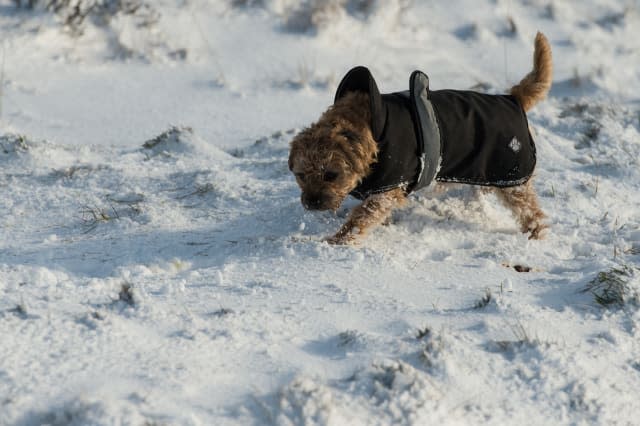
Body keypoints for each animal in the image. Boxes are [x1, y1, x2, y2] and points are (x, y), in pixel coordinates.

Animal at [288, 31, 552, 245]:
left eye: (331, 175)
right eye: (301, 176)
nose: (312, 202)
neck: (370, 130)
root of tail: (514, 98)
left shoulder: (387, 188)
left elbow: (361, 217)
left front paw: (337, 241)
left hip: (512, 177)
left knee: (531, 211)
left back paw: (536, 234)